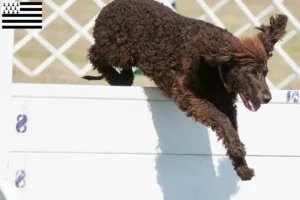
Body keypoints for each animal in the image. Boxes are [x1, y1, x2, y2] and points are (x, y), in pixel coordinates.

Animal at [84, 0, 288, 181]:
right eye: (250, 73)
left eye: (265, 73)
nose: (268, 98)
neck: (213, 65)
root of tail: (112, 4)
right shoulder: (188, 96)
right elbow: (221, 119)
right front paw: (238, 150)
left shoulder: (226, 104)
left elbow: (231, 127)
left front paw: (241, 165)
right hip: (117, 48)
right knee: (95, 54)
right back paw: (114, 76)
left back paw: (123, 78)